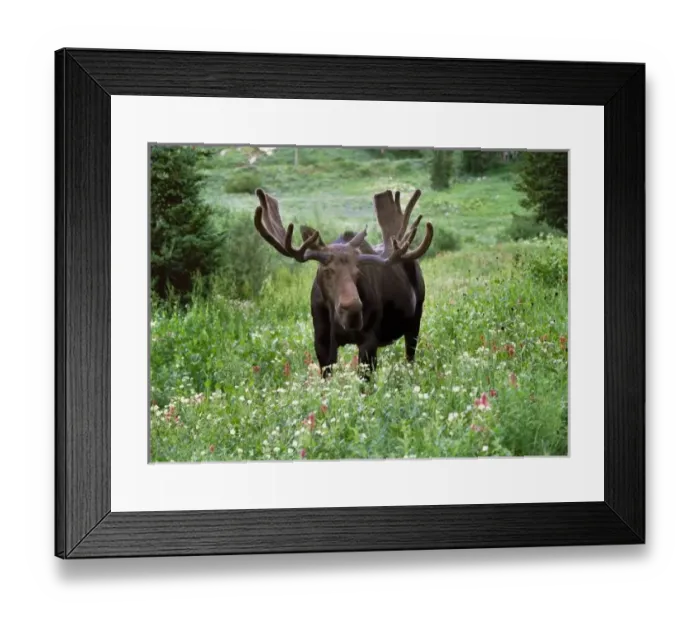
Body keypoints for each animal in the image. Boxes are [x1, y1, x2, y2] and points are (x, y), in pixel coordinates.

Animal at [252, 187, 433, 379]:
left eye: (358, 272)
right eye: (327, 271)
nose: (352, 310)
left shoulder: (369, 340)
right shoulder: (322, 341)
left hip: (415, 319)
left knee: (410, 357)